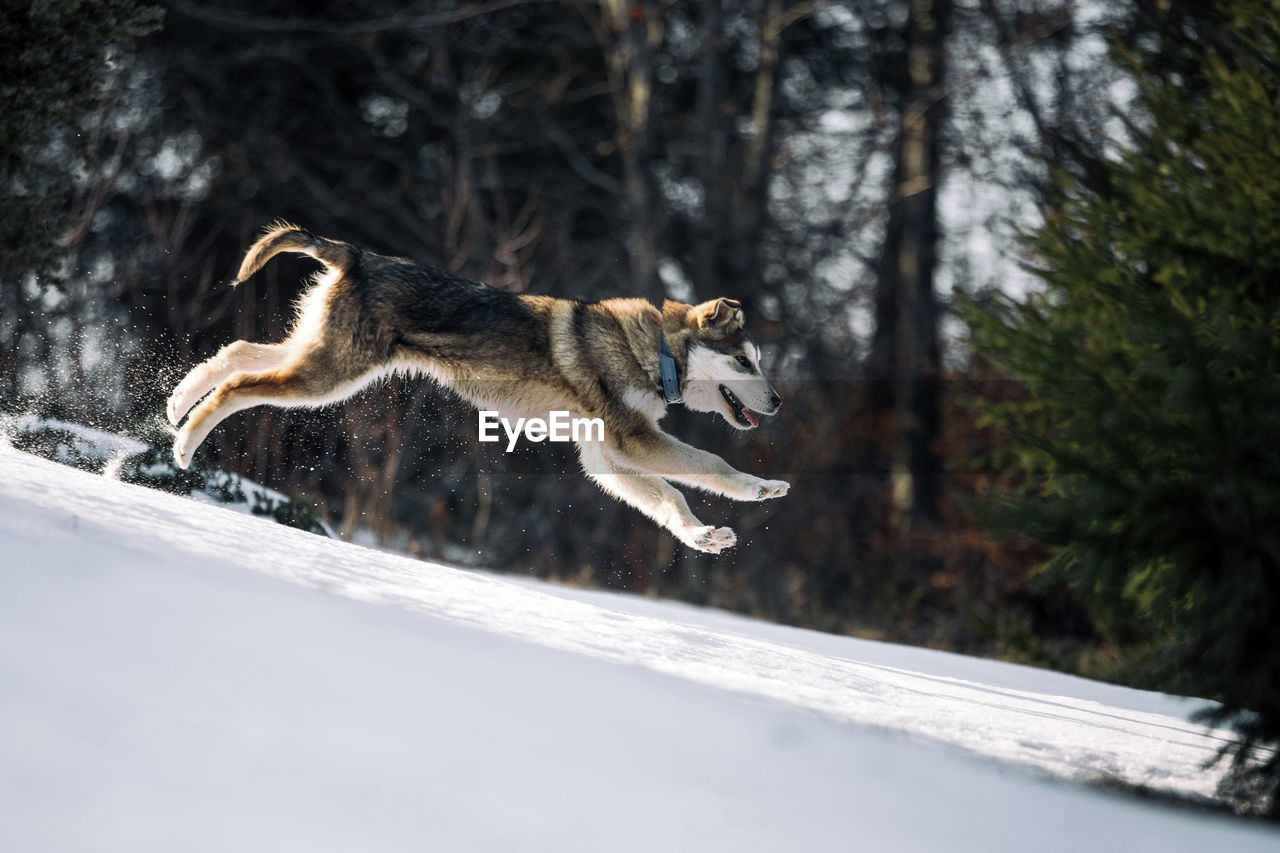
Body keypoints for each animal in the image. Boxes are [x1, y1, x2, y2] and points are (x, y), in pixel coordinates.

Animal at [167, 222, 788, 550]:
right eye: (744, 362)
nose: (779, 402)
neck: (657, 353)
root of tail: (357, 256)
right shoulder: (630, 440)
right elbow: (709, 465)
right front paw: (760, 488)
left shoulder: (605, 456)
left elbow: (671, 497)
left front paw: (702, 537)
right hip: (326, 376)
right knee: (239, 386)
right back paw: (184, 445)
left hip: (320, 358)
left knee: (236, 354)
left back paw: (175, 405)